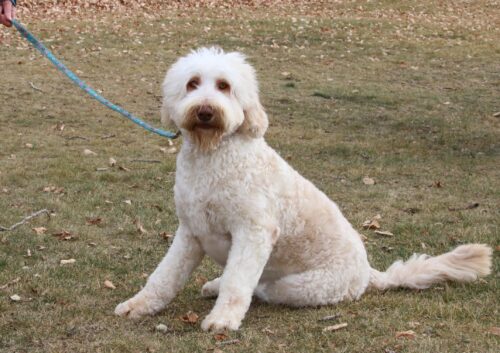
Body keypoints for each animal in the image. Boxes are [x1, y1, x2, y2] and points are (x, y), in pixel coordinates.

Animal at [115, 46, 494, 330]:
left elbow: (239, 282)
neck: (214, 156)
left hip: (297, 286)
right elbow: (163, 277)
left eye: (223, 86)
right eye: (193, 84)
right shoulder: (191, 232)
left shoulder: (253, 232)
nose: (206, 111)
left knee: (260, 287)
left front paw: (222, 320)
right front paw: (138, 305)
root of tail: (369, 274)